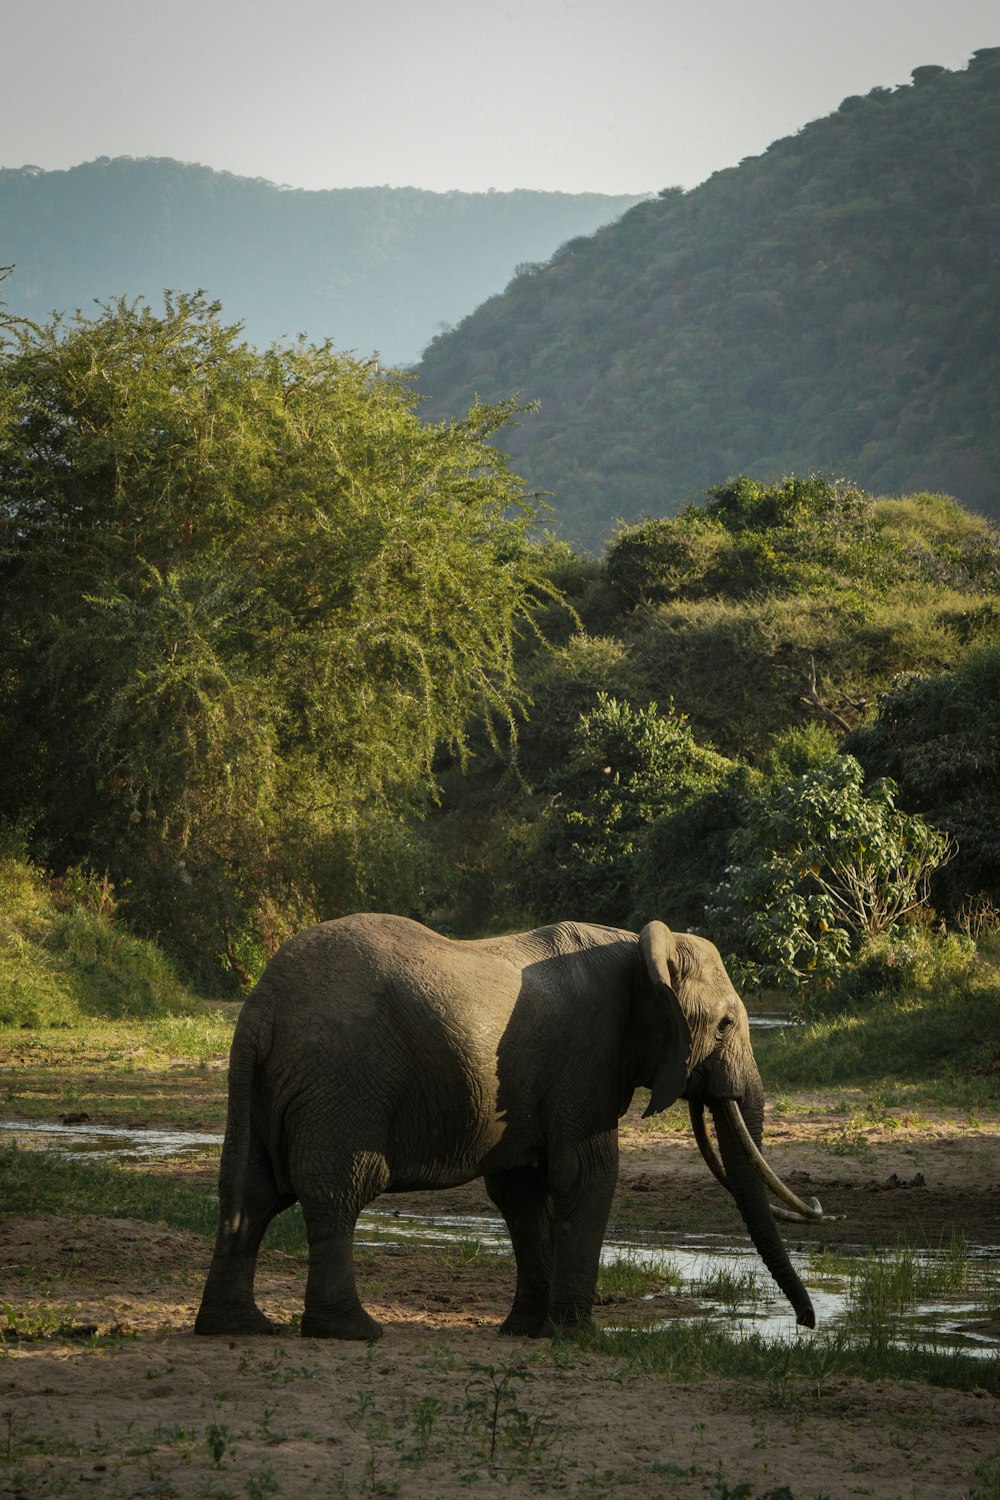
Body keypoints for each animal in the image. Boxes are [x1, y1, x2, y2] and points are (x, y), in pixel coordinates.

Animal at [194, 906, 821, 1344]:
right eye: (725, 1024)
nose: (806, 1326)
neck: (639, 947)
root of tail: (262, 1007)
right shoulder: (585, 1061)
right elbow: (585, 1175)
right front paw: (579, 1337)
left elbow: (522, 1192)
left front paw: (527, 1332)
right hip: (342, 1081)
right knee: (338, 1192)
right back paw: (353, 1333)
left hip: (267, 1084)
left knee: (249, 1193)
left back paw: (239, 1327)